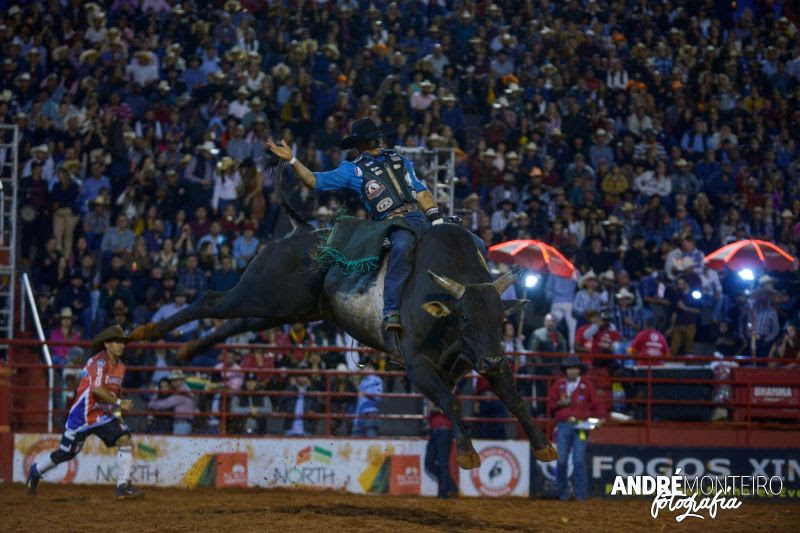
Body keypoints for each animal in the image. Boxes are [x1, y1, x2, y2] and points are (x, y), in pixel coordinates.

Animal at [131, 214, 556, 468]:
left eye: (502, 319)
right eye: (465, 316)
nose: (491, 361)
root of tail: (298, 231)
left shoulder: (485, 354)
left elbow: (514, 397)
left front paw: (542, 445)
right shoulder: (418, 366)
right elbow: (449, 400)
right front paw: (467, 453)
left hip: (286, 309)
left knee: (234, 322)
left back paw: (187, 349)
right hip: (264, 291)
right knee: (211, 300)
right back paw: (145, 333)